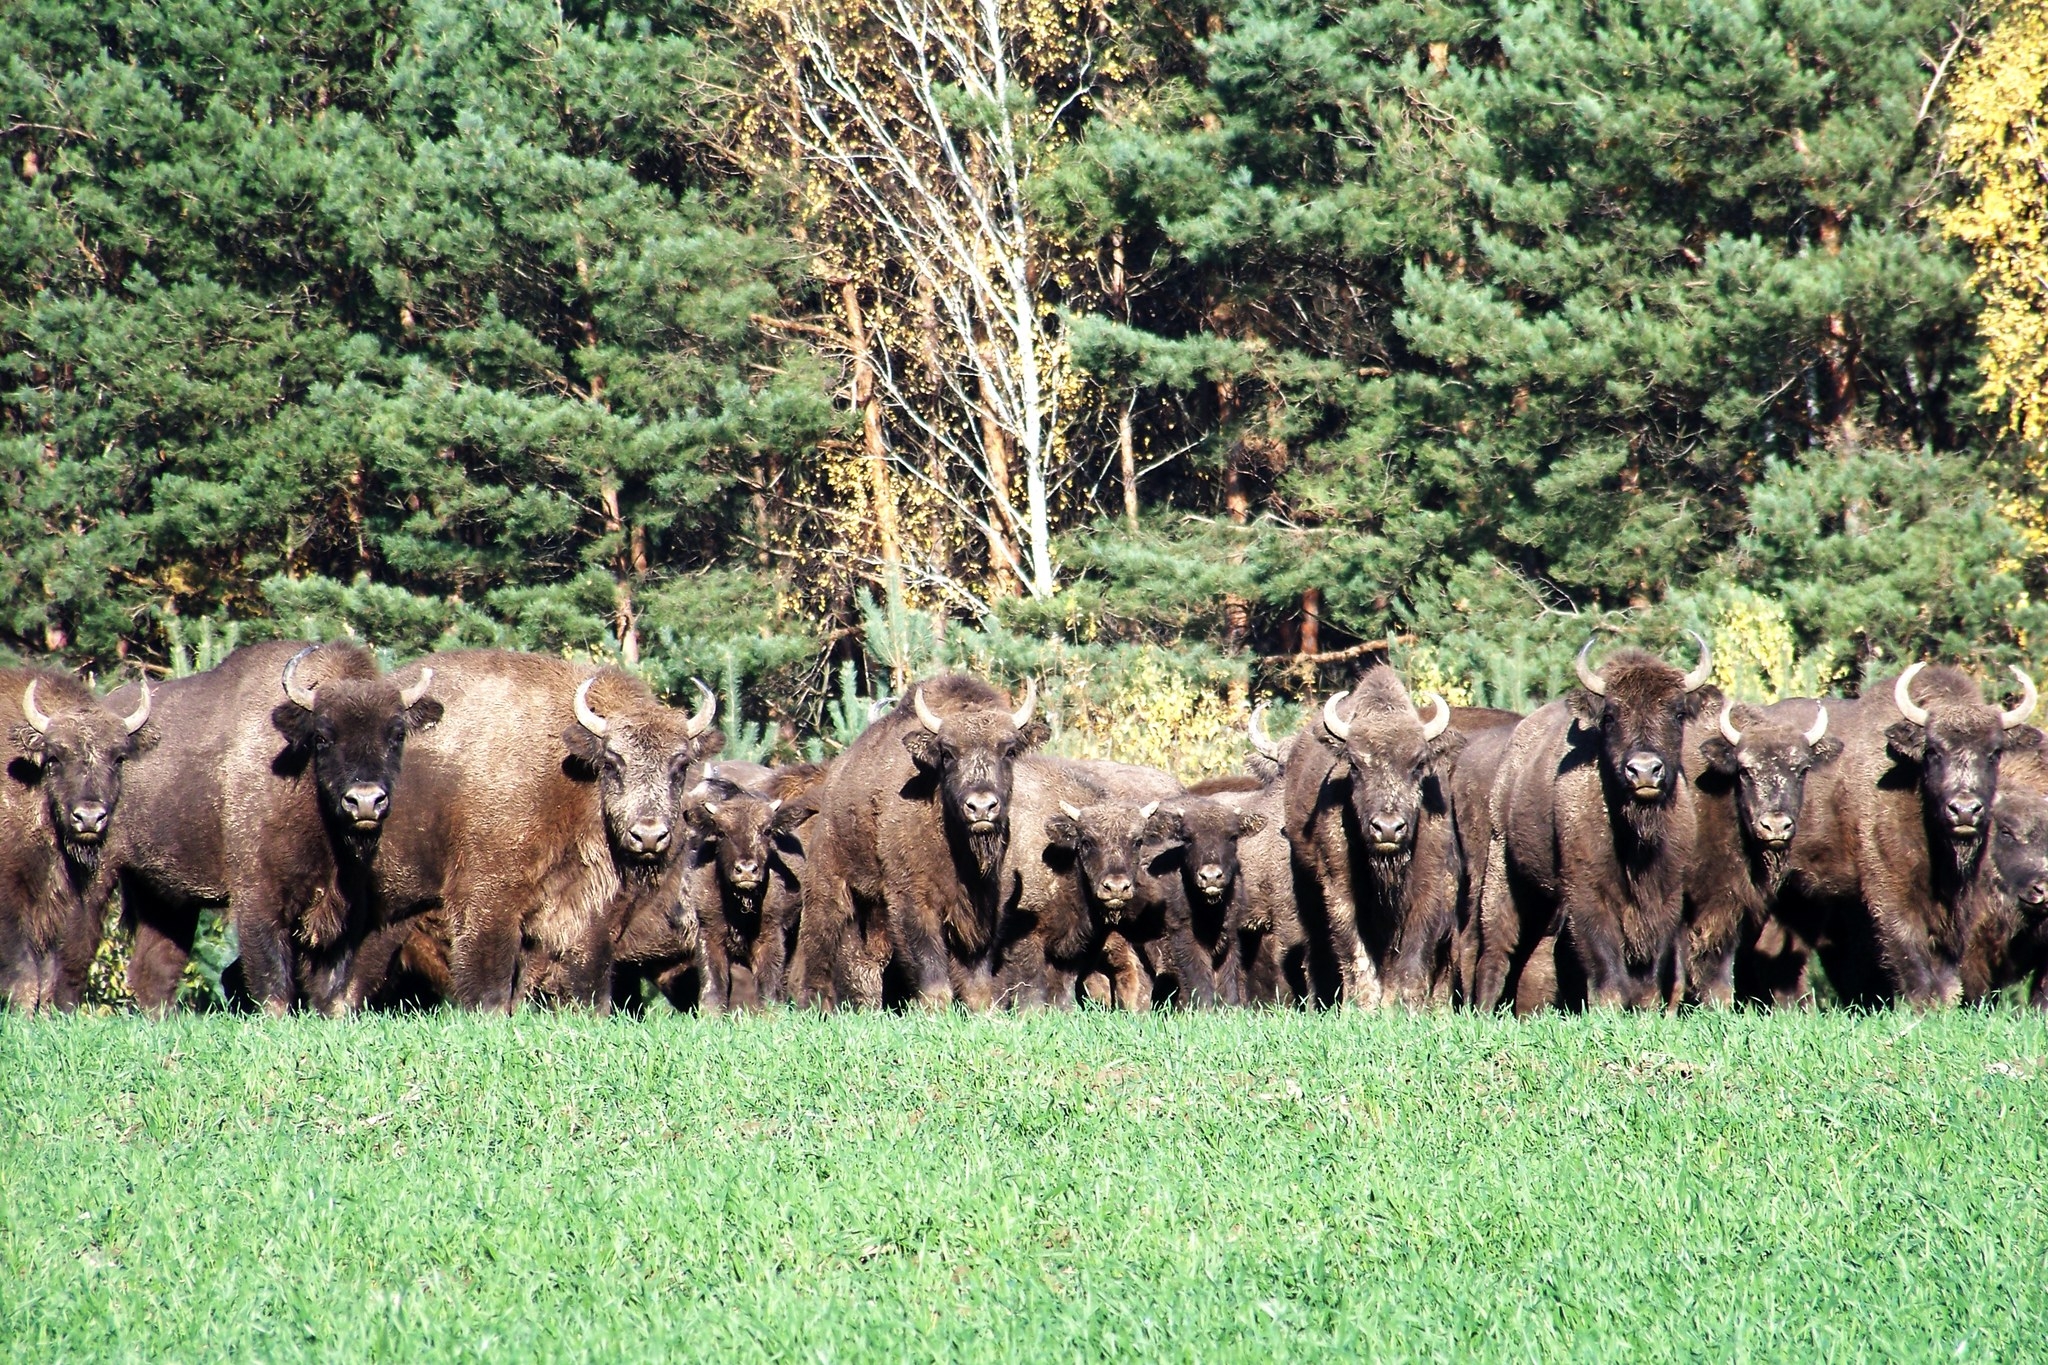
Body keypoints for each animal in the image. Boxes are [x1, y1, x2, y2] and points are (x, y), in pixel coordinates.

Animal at [1, 667, 151, 1010]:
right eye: (54, 757)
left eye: (119, 758)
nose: (90, 817)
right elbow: (24, 975)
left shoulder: (57, 905)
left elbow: (48, 975)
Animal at [101, 642, 438, 1015]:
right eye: (323, 736)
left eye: (397, 735)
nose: (365, 801)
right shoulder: (258, 896)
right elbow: (271, 976)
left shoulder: (343, 908)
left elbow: (332, 985)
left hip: (164, 896)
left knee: (154, 970)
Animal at [794, 675, 1040, 1010]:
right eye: (948, 753)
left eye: (1009, 751)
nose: (981, 807)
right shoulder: (912, 898)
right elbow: (929, 962)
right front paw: (935, 1009)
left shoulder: (984, 902)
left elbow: (977, 970)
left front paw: (983, 1010)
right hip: (828, 877)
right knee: (819, 936)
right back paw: (816, 1002)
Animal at [1482, 634, 1720, 1010]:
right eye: (1610, 716)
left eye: (1678, 713)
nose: (1644, 771)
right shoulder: (1587, 893)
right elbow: (1605, 961)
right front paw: (1609, 1007)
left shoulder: (1665, 895)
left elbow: (1649, 971)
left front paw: (1646, 1008)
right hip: (1503, 871)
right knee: (1496, 948)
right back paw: (1483, 1007)